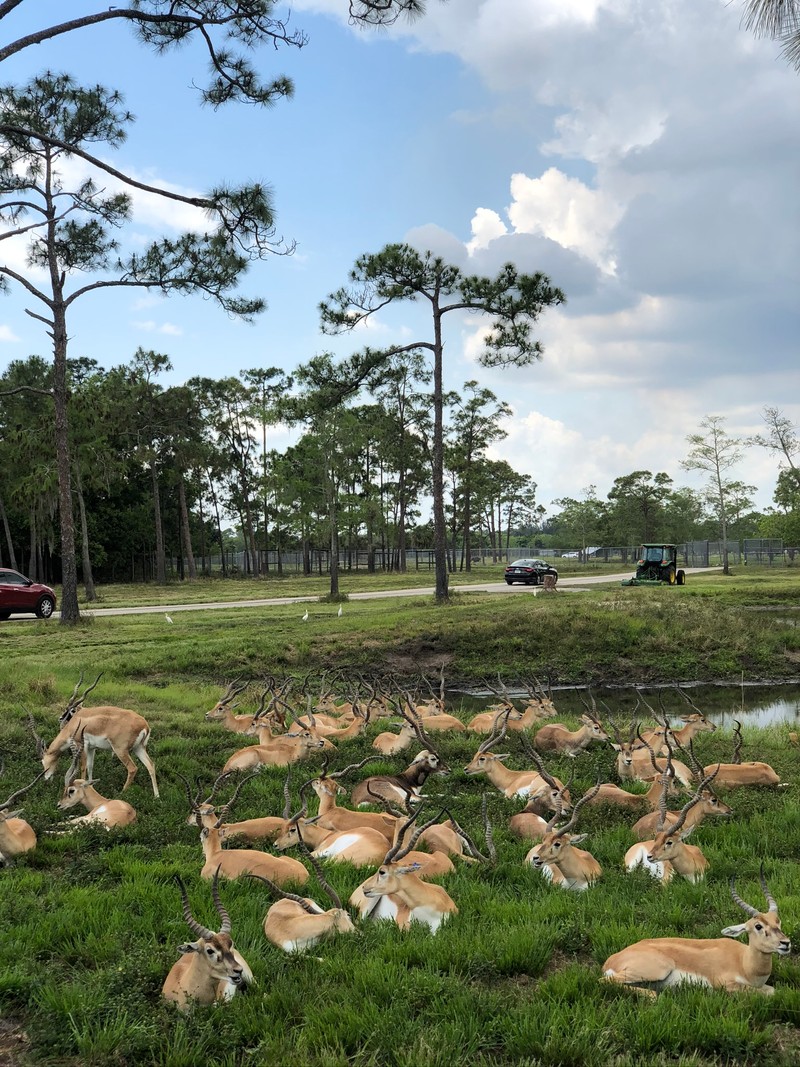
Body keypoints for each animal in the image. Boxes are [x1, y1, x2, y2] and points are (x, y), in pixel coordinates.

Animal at [28, 670, 160, 798]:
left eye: (43, 762)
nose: (46, 779)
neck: (75, 722)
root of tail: (144, 725)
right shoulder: (92, 748)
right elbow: (90, 765)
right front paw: (91, 785)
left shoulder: (81, 745)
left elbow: (83, 766)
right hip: (139, 748)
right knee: (151, 765)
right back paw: (156, 796)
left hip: (120, 750)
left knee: (132, 768)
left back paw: (123, 793)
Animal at [605, 870, 793, 994]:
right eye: (758, 926)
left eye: (778, 921)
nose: (786, 943)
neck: (744, 962)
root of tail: (611, 960)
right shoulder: (725, 984)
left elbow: (772, 990)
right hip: (657, 970)